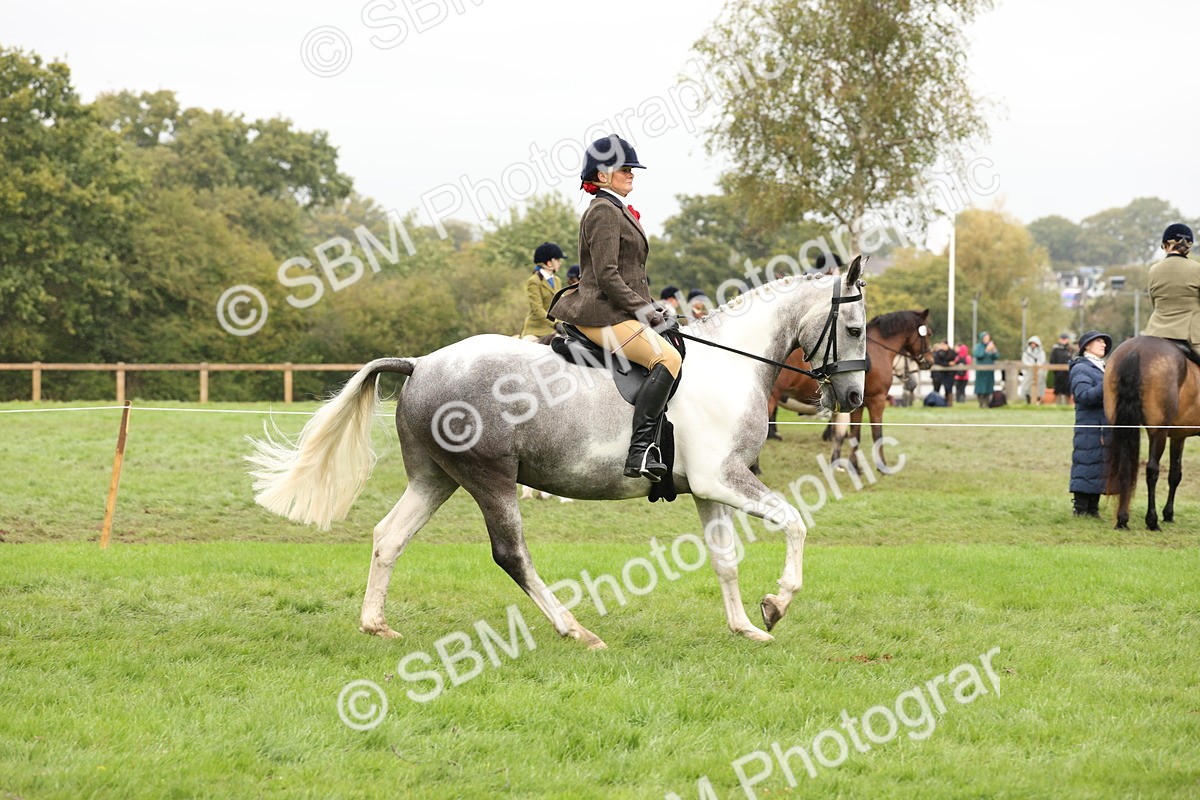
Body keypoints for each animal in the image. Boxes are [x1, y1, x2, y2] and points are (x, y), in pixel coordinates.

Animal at [247, 259, 869, 648]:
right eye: (857, 328)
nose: (854, 399)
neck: (729, 363)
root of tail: (421, 364)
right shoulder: (725, 478)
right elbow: (795, 522)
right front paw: (778, 603)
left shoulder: (707, 486)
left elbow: (724, 559)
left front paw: (747, 628)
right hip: (490, 478)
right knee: (511, 555)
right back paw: (577, 631)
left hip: (435, 478)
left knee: (388, 536)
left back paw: (375, 625)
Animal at [1104, 336, 1200, 530]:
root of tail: (1135, 349)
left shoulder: (1178, 436)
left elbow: (1175, 474)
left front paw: (1168, 514)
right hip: (1158, 432)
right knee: (1152, 470)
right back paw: (1152, 521)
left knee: (1125, 467)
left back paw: (1122, 519)